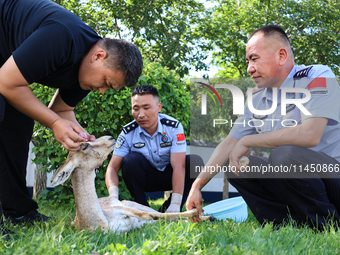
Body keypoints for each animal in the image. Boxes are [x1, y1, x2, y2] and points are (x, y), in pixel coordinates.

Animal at [51, 136, 203, 232]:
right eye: (85, 146)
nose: (110, 138)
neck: (98, 222)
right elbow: (151, 216)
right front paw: (195, 212)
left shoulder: (124, 209)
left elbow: (151, 214)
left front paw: (196, 212)